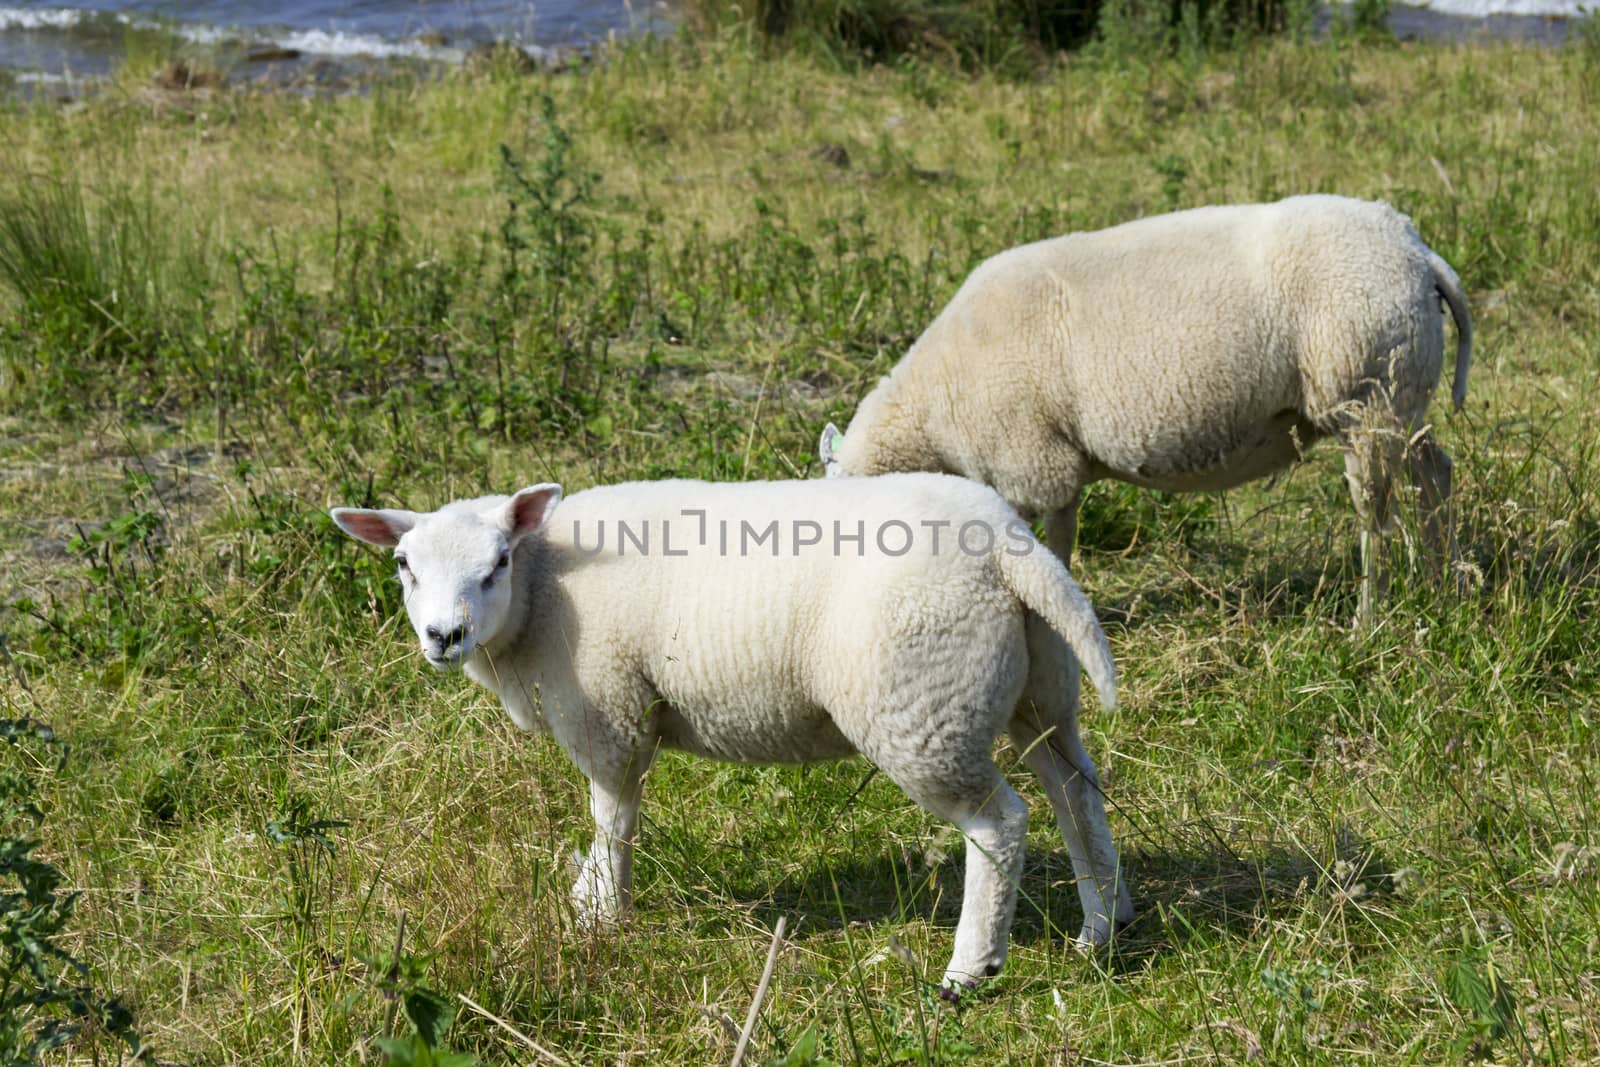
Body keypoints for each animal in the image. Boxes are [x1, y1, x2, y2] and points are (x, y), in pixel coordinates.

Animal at [336, 470, 1132, 991]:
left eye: (497, 562)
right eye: (403, 565)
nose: (444, 635)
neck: (541, 593)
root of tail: (1008, 545)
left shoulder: (609, 710)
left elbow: (612, 813)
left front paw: (605, 912)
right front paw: (591, 894)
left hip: (923, 704)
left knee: (999, 821)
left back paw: (971, 968)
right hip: (1041, 690)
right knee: (1076, 794)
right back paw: (1102, 926)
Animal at [825, 195, 1472, 620]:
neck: (929, 411)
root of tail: (1416, 251)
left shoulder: (1028, 463)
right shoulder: (1055, 468)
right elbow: (1060, 542)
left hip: (1365, 393)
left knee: (1376, 516)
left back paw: (1368, 618)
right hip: (1401, 397)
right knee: (1435, 473)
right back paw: (1448, 588)